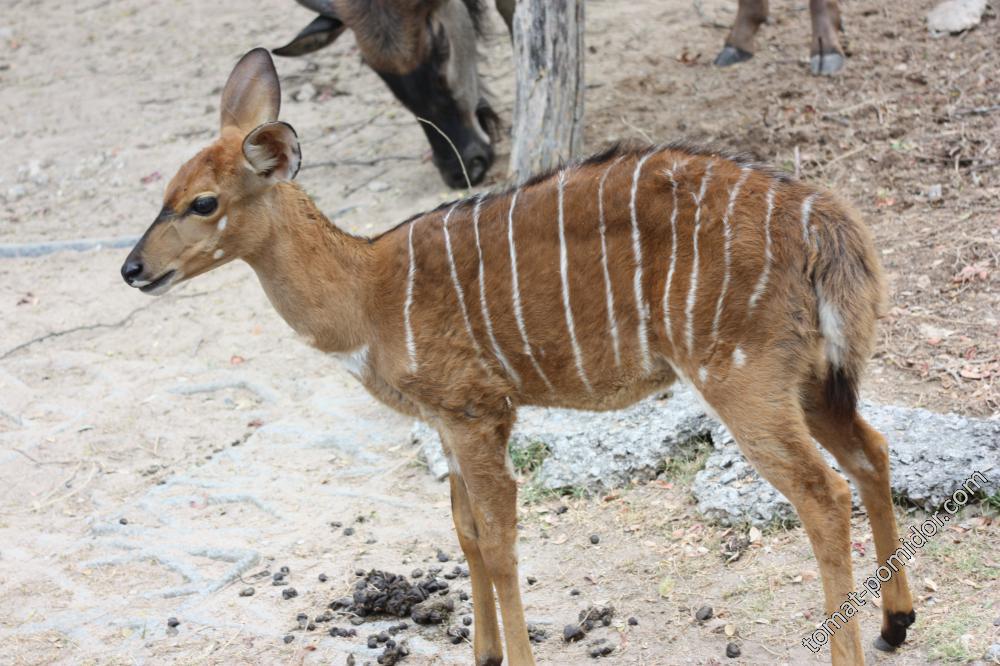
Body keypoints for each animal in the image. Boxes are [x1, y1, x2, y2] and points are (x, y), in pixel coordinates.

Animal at [119, 49, 916, 660]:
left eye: (204, 203)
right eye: (166, 192)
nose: (132, 268)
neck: (367, 291)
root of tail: (824, 220)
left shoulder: (477, 414)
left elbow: (500, 542)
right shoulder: (447, 423)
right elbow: (466, 534)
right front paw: (485, 653)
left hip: (743, 379)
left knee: (823, 492)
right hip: (812, 379)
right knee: (872, 451)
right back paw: (896, 624)